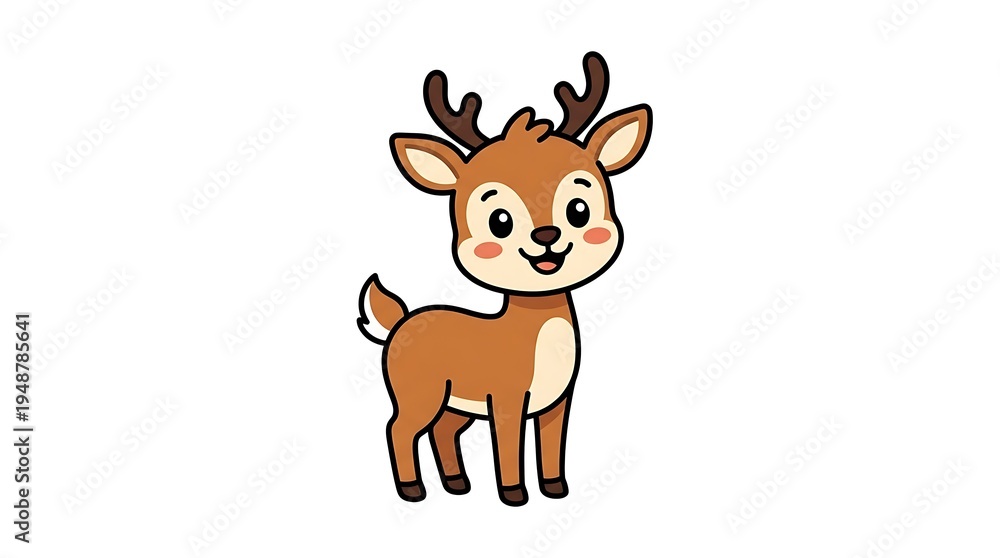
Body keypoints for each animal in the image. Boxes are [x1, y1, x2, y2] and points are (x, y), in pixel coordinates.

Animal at [357, 52, 652, 506]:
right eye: (499, 221)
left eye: (579, 209)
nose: (547, 237)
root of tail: (399, 322)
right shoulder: (507, 400)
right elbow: (509, 447)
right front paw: (514, 494)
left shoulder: (557, 403)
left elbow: (551, 447)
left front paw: (555, 489)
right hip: (421, 395)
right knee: (399, 429)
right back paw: (412, 489)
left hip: (455, 404)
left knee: (442, 431)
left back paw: (457, 484)